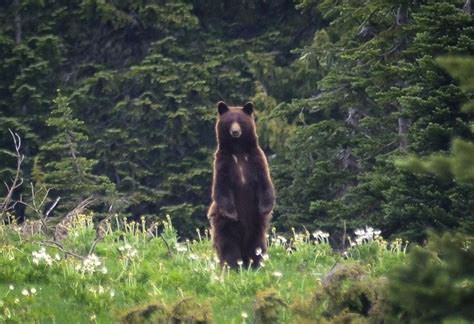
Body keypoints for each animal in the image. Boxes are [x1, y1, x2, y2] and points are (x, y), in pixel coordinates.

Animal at [206, 101, 274, 268]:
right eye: (229, 121)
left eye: (241, 121)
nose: (235, 131)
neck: (238, 151)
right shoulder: (223, 163)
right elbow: (221, 188)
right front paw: (232, 213)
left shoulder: (256, 159)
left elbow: (265, 182)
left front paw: (265, 208)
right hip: (224, 226)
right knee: (228, 246)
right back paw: (232, 266)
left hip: (256, 224)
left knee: (257, 245)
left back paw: (256, 264)